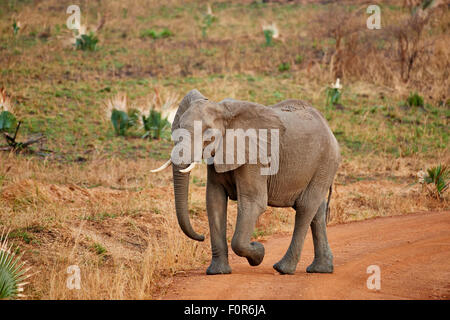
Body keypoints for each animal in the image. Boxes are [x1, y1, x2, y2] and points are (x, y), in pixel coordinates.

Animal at [151, 89, 342, 276]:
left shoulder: (255, 158)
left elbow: (253, 202)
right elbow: (214, 200)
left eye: (209, 138)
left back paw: (283, 269)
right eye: (178, 127)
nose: (201, 237)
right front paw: (218, 272)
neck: (225, 112)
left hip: (326, 162)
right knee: (316, 209)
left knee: (305, 207)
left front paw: (258, 253)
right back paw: (320, 269)